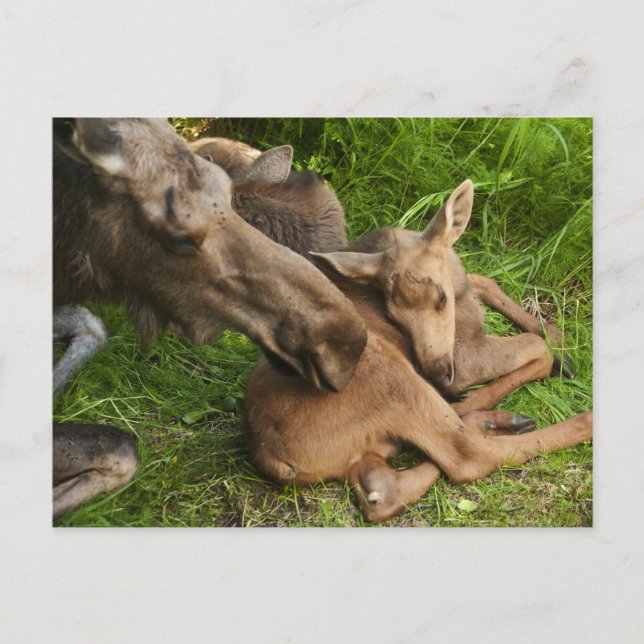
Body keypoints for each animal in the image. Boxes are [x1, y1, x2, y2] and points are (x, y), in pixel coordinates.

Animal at [241, 179, 592, 522]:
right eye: (393, 315)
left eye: (441, 299)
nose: (436, 370)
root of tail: (270, 457)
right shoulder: (464, 358)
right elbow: (536, 348)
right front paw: (560, 355)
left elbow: (484, 279)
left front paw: (554, 331)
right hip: (387, 372)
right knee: (466, 456)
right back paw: (574, 420)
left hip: (363, 450)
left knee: (382, 494)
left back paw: (488, 420)